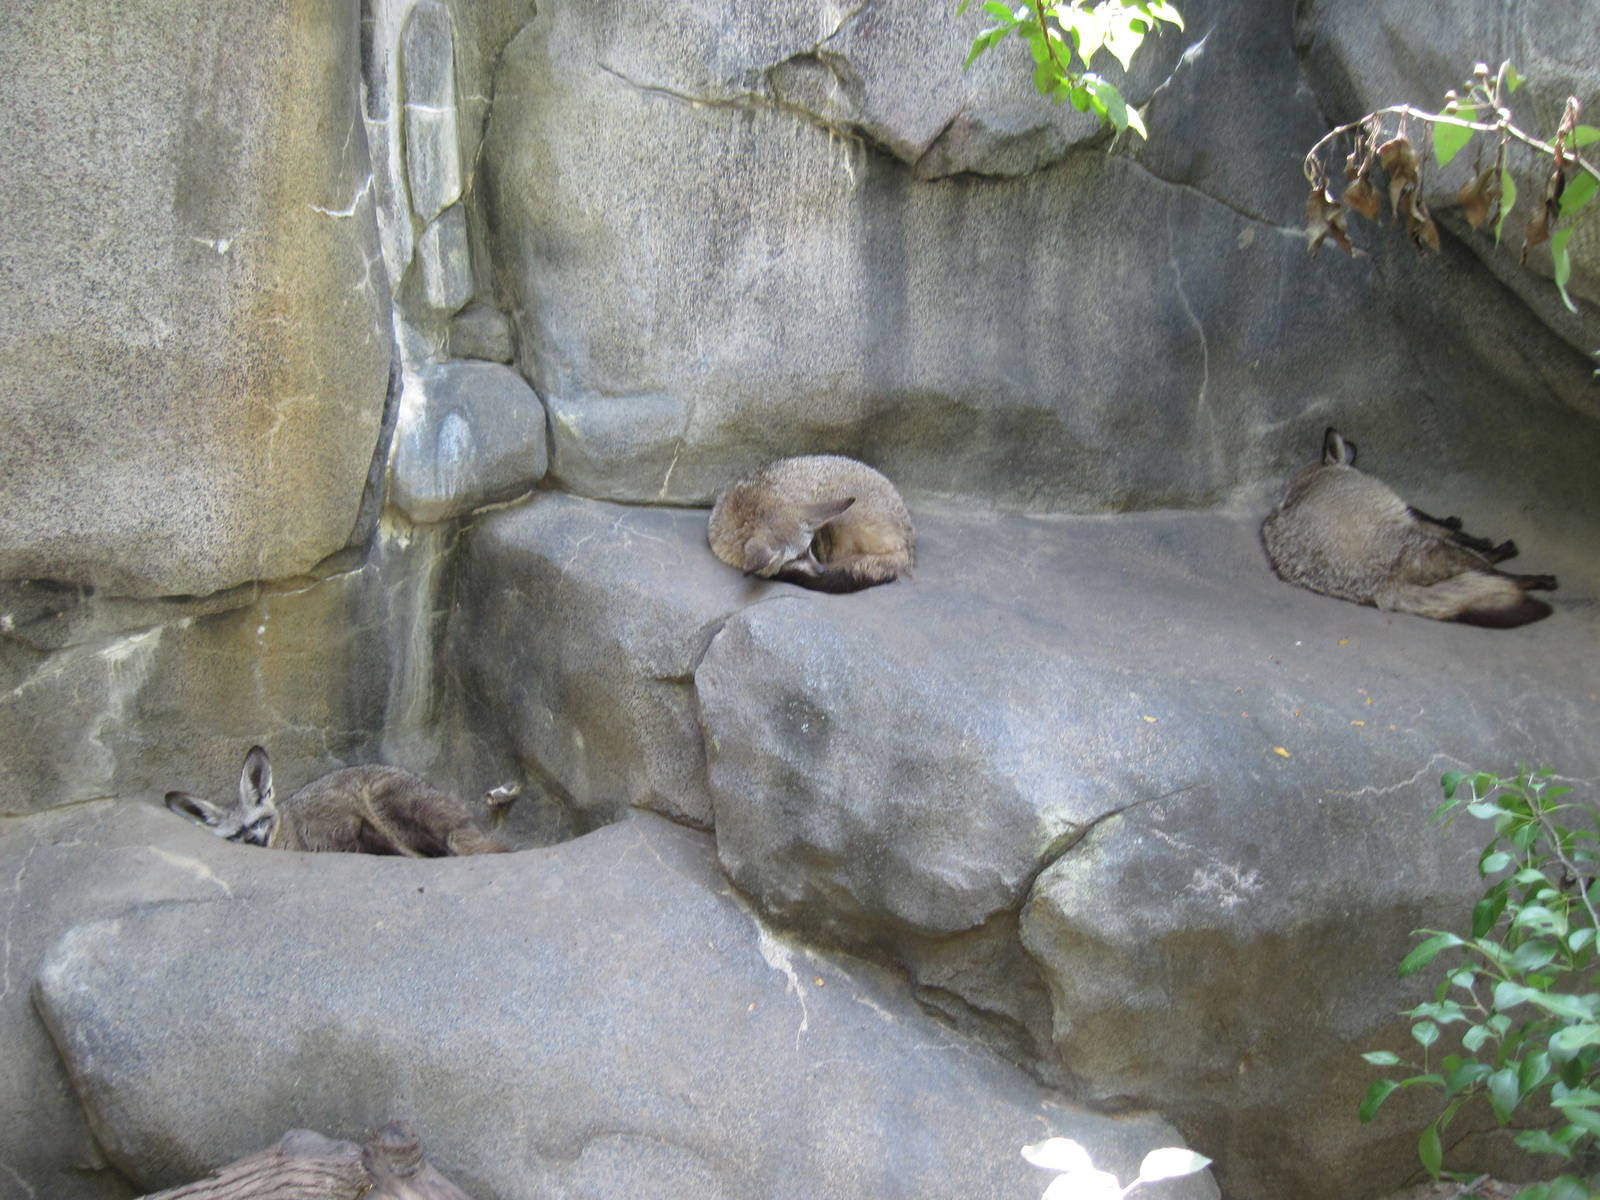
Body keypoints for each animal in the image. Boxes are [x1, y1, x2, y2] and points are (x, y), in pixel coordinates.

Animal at [1261, 428, 1556, 628]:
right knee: (1501, 575)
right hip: (1443, 552)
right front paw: (1482, 540)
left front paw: (1455, 522)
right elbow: (1446, 527)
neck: (1317, 475)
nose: (1353, 442)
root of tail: (1382, 587)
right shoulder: (1404, 512)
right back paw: (1535, 576)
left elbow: (1438, 522)